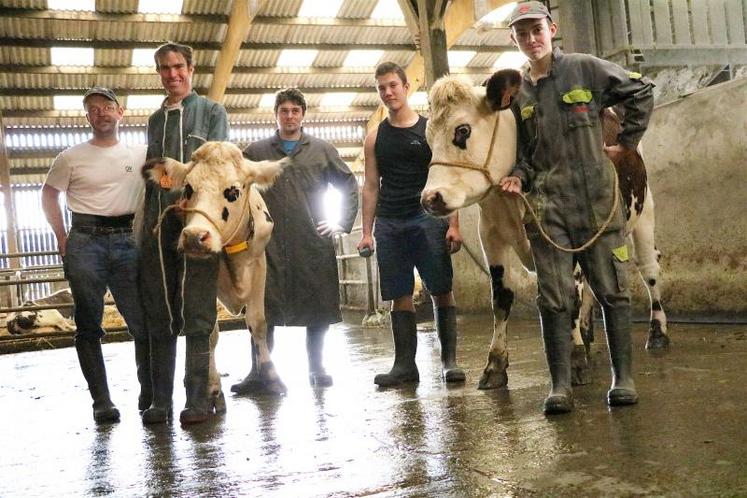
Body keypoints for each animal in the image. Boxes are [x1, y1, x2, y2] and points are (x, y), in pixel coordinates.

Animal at [143, 141, 290, 408]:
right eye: (188, 188)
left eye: (233, 191)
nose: (194, 236)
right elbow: (209, 331)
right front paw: (211, 388)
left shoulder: (258, 264)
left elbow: (258, 323)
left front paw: (271, 378)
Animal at [420, 71, 672, 390]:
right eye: (428, 139)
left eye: (462, 131)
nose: (430, 198)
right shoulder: (490, 235)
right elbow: (501, 299)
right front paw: (495, 364)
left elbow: (570, 295)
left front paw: (575, 360)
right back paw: (587, 333)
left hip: (643, 212)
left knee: (648, 269)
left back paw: (657, 333)